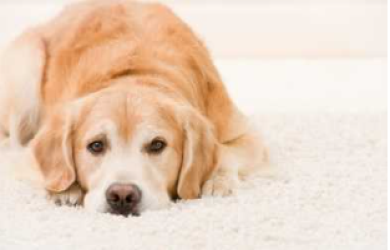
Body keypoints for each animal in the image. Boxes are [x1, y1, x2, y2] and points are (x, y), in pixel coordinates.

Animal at [0, 0, 268, 215]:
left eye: (157, 145)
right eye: (96, 146)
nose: (122, 195)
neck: (136, 74)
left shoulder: (247, 133)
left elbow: (225, 152)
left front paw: (217, 181)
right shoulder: (32, 152)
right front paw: (65, 189)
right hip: (28, 59)